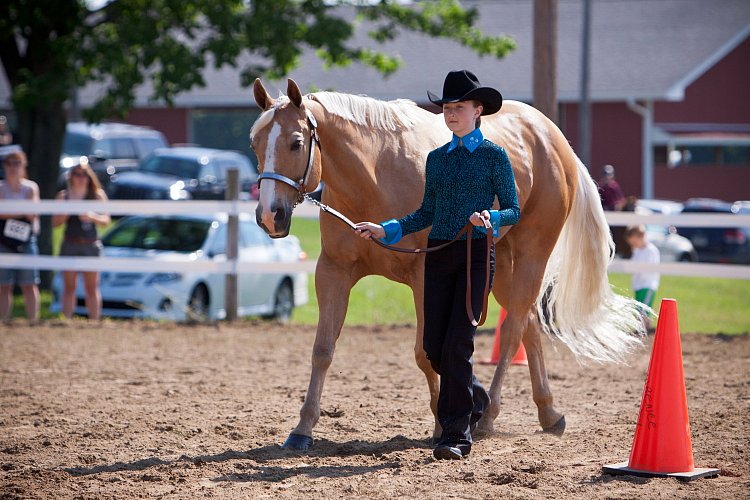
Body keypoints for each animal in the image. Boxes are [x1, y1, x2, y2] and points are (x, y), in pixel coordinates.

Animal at [253, 78, 648, 450]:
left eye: (295, 143)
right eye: (255, 143)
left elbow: (426, 352)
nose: (270, 217)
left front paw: (445, 424)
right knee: (528, 323)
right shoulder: (333, 272)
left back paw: (488, 416)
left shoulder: (423, 276)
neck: (375, 175)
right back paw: (548, 413)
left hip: (532, 253)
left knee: (513, 330)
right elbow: (323, 350)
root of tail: (554, 137)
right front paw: (302, 430)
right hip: (499, 267)